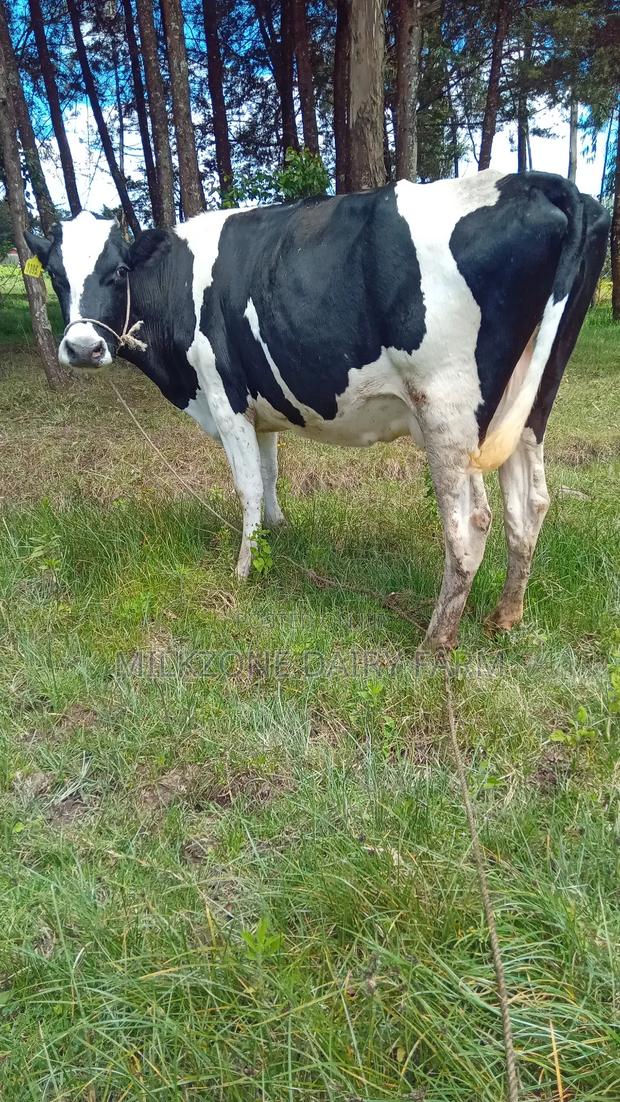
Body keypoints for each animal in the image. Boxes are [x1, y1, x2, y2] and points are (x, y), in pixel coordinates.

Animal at [24, 170, 609, 650]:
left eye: (118, 271)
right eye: (55, 274)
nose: (81, 348)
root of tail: (537, 181)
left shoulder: (225, 396)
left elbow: (247, 486)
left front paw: (243, 571)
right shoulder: (261, 405)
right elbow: (270, 472)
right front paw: (276, 536)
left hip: (447, 405)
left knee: (471, 521)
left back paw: (435, 642)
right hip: (529, 401)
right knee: (529, 505)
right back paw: (505, 617)